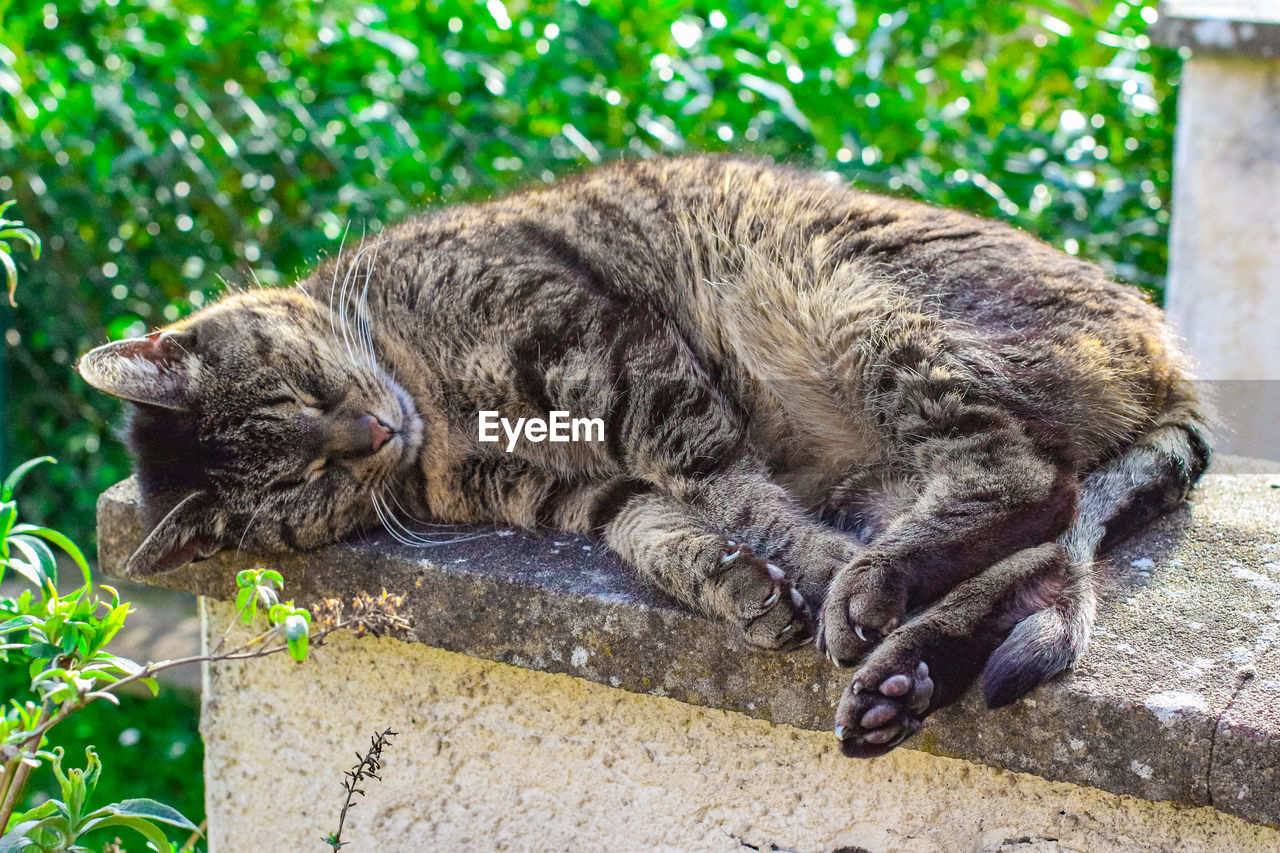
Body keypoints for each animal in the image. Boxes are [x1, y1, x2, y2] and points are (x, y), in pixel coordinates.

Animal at [77, 156, 1208, 753]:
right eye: (306, 477)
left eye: (304, 395)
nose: (373, 433)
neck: (434, 413)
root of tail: (1171, 357)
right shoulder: (576, 489)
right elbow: (659, 530)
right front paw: (737, 585)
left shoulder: (605, 347)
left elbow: (731, 486)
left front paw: (808, 565)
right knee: (1038, 551)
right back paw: (907, 675)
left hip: (859, 305)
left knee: (1029, 485)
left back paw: (873, 591)